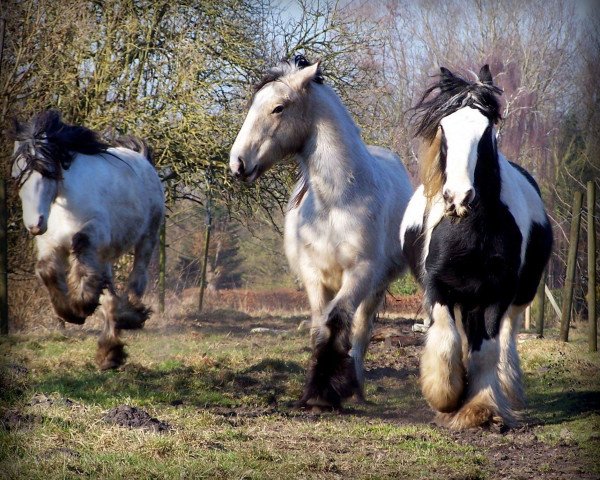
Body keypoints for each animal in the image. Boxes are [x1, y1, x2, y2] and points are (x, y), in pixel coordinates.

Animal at [11, 110, 165, 370]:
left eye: (46, 171)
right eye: (17, 176)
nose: (35, 224)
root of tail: (142, 158)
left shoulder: (95, 232)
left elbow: (80, 244)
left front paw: (82, 304)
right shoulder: (51, 243)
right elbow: (46, 270)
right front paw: (70, 312)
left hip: (147, 237)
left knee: (137, 277)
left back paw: (130, 315)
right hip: (105, 255)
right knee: (109, 295)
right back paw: (109, 353)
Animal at [230, 56, 412, 408]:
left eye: (278, 108)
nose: (238, 164)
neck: (337, 200)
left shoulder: (360, 273)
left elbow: (337, 321)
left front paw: (326, 391)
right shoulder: (313, 275)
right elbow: (318, 327)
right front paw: (314, 393)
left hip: (376, 286)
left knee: (361, 330)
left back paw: (357, 389)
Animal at [400, 65, 552, 430]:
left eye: (486, 131)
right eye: (444, 128)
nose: (459, 197)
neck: (470, 233)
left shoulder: (499, 292)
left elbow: (486, 350)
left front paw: (480, 408)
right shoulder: (438, 287)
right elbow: (447, 339)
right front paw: (446, 397)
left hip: (518, 296)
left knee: (507, 336)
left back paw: (507, 389)